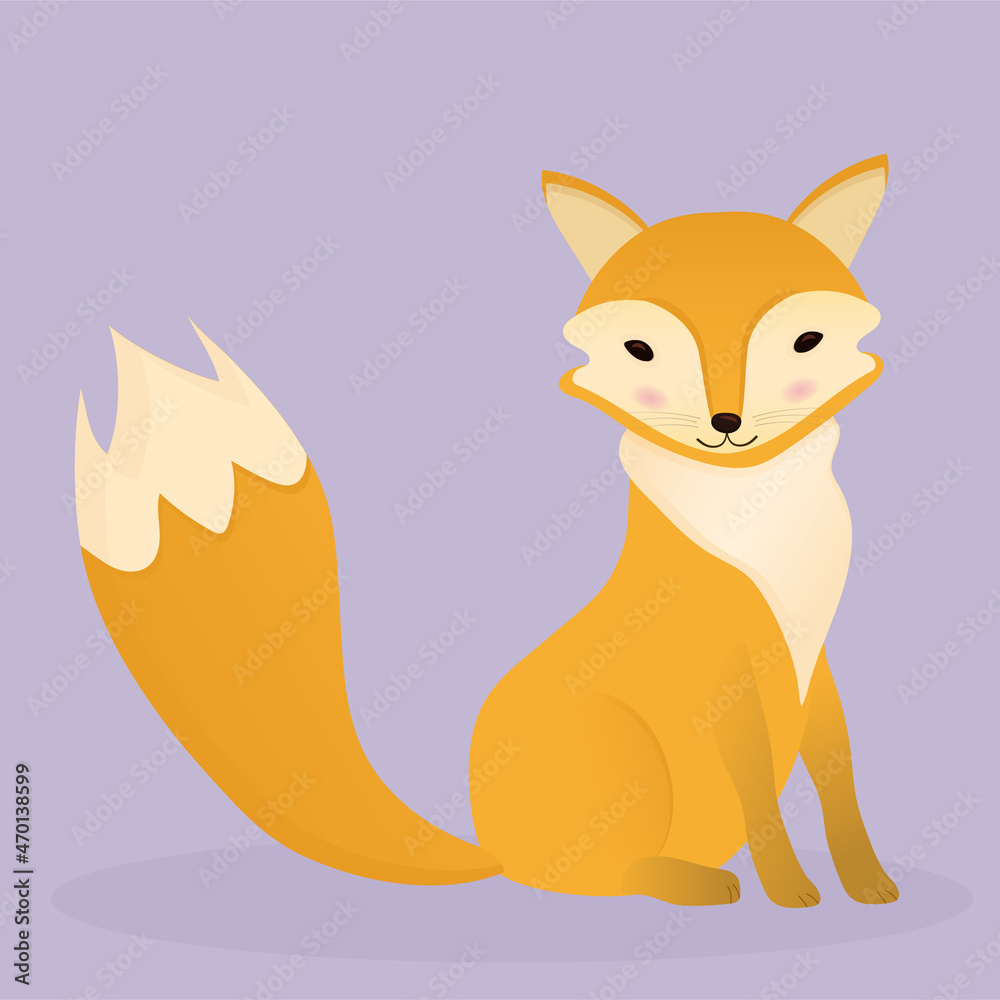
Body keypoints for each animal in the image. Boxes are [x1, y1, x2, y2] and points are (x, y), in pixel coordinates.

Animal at [74, 154, 897, 909]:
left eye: (806, 342)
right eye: (642, 351)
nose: (725, 422)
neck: (756, 514)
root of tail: (492, 849)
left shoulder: (814, 653)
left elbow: (838, 772)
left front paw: (867, 883)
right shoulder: (724, 666)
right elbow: (763, 793)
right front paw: (791, 890)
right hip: (619, 749)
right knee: (607, 877)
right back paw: (688, 883)